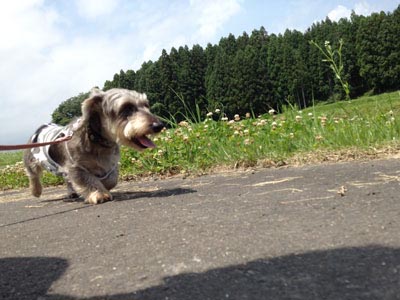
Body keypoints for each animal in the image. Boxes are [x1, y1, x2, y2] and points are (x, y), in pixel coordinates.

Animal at [23, 86, 164, 204]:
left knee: (67, 180)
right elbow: (87, 179)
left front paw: (104, 187)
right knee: (33, 175)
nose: (159, 125)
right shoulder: (75, 167)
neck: (98, 141)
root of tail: (42, 127)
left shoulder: (110, 166)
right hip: (32, 161)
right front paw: (99, 193)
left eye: (146, 105)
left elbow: (111, 180)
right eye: (127, 107)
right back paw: (36, 191)